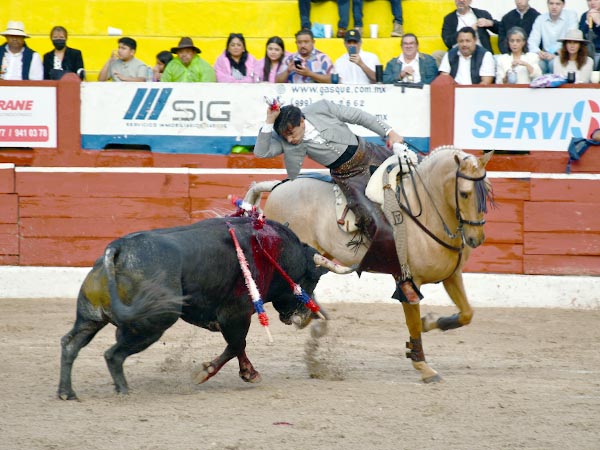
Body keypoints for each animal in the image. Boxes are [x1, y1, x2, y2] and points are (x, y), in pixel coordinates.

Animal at [60, 216, 342, 400]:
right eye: (313, 278)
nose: (307, 316)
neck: (270, 251)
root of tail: (119, 248)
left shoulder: (231, 317)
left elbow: (237, 346)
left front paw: (248, 372)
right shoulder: (236, 313)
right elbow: (237, 345)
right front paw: (207, 372)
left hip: (90, 317)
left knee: (71, 344)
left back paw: (67, 392)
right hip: (155, 323)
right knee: (113, 354)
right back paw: (124, 391)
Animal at [246, 146, 494, 382]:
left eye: (487, 191)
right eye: (464, 194)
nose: (476, 238)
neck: (426, 211)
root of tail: (278, 186)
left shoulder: (452, 275)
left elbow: (466, 313)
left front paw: (431, 321)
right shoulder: (408, 283)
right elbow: (413, 325)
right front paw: (424, 368)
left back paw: (312, 317)